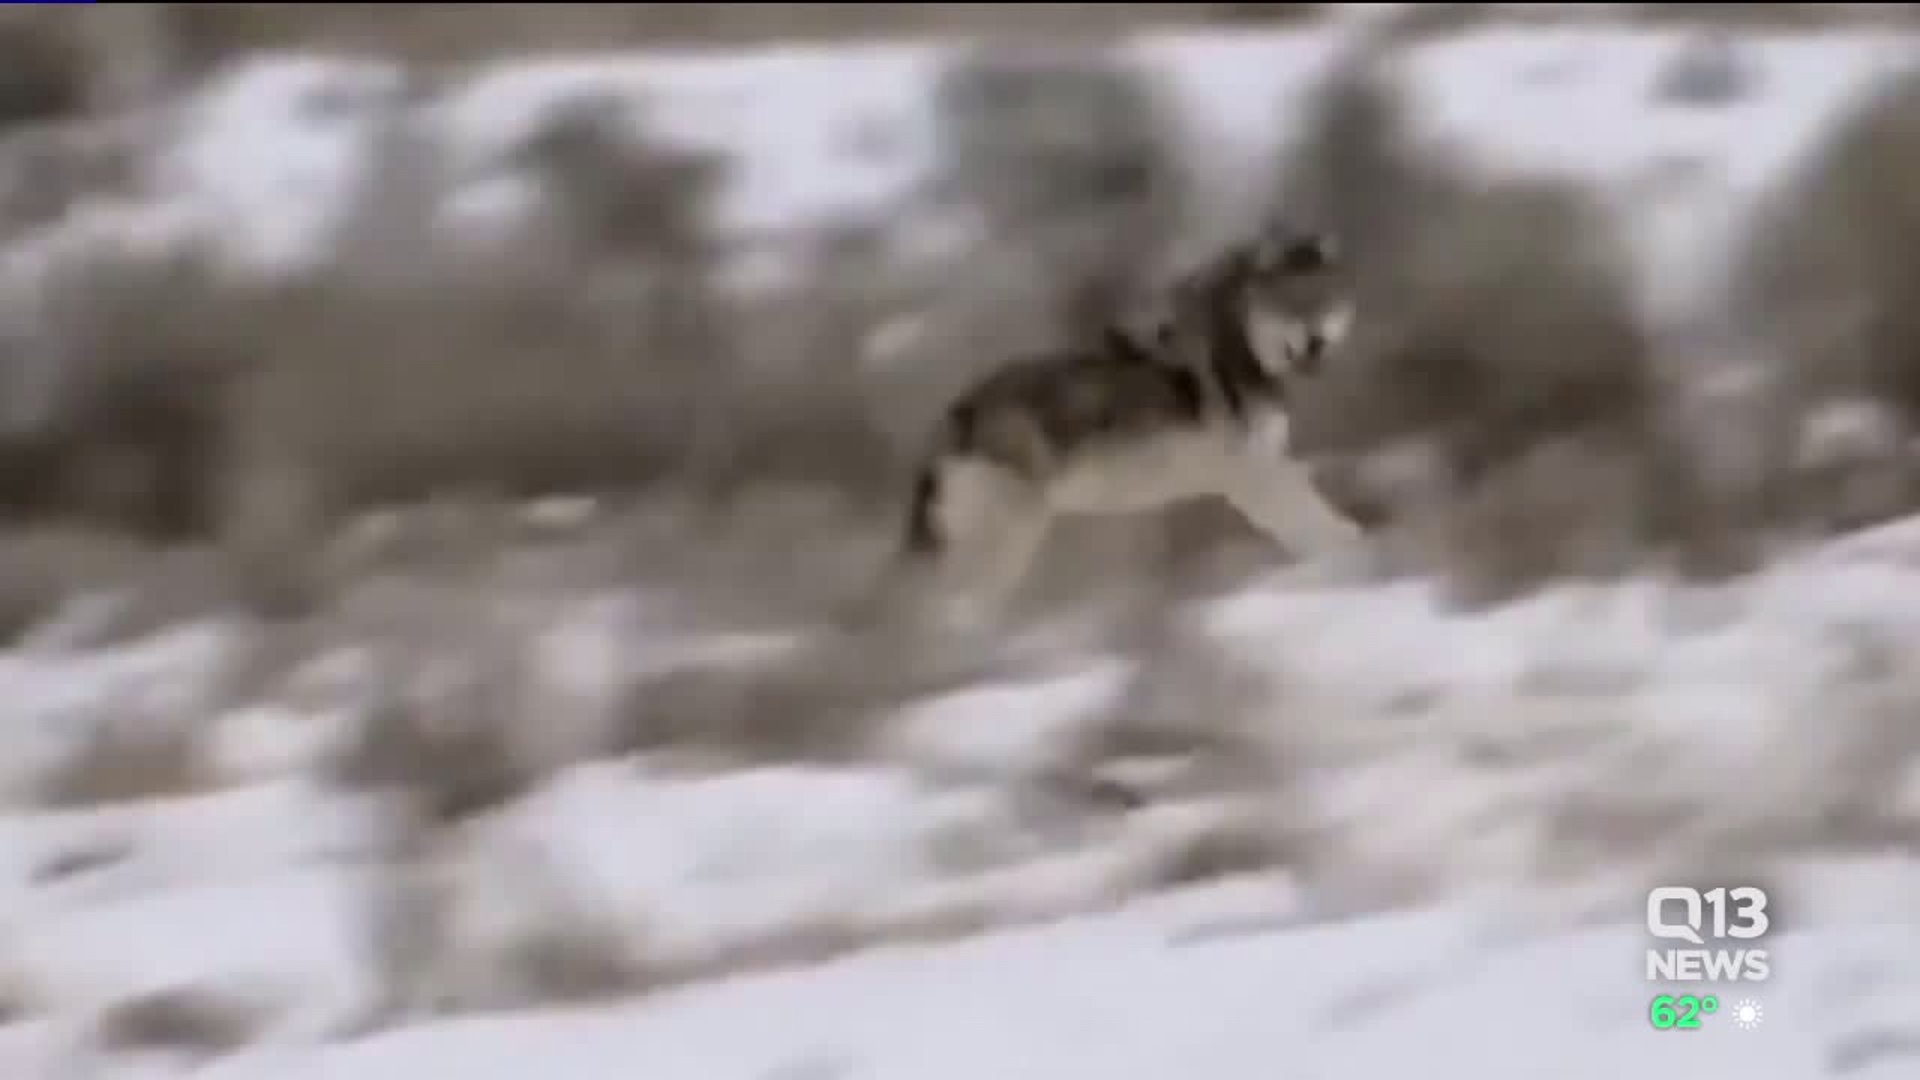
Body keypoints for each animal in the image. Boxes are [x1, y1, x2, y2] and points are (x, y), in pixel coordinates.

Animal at [879, 219, 1365, 627]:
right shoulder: (1252, 478)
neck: (1236, 342)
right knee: (958, 613)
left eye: (1324, 301)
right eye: (1290, 304)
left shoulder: (1265, 471)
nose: (1315, 341)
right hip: (1009, 545)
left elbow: (1314, 521)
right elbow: (1314, 525)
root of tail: (955, 415)